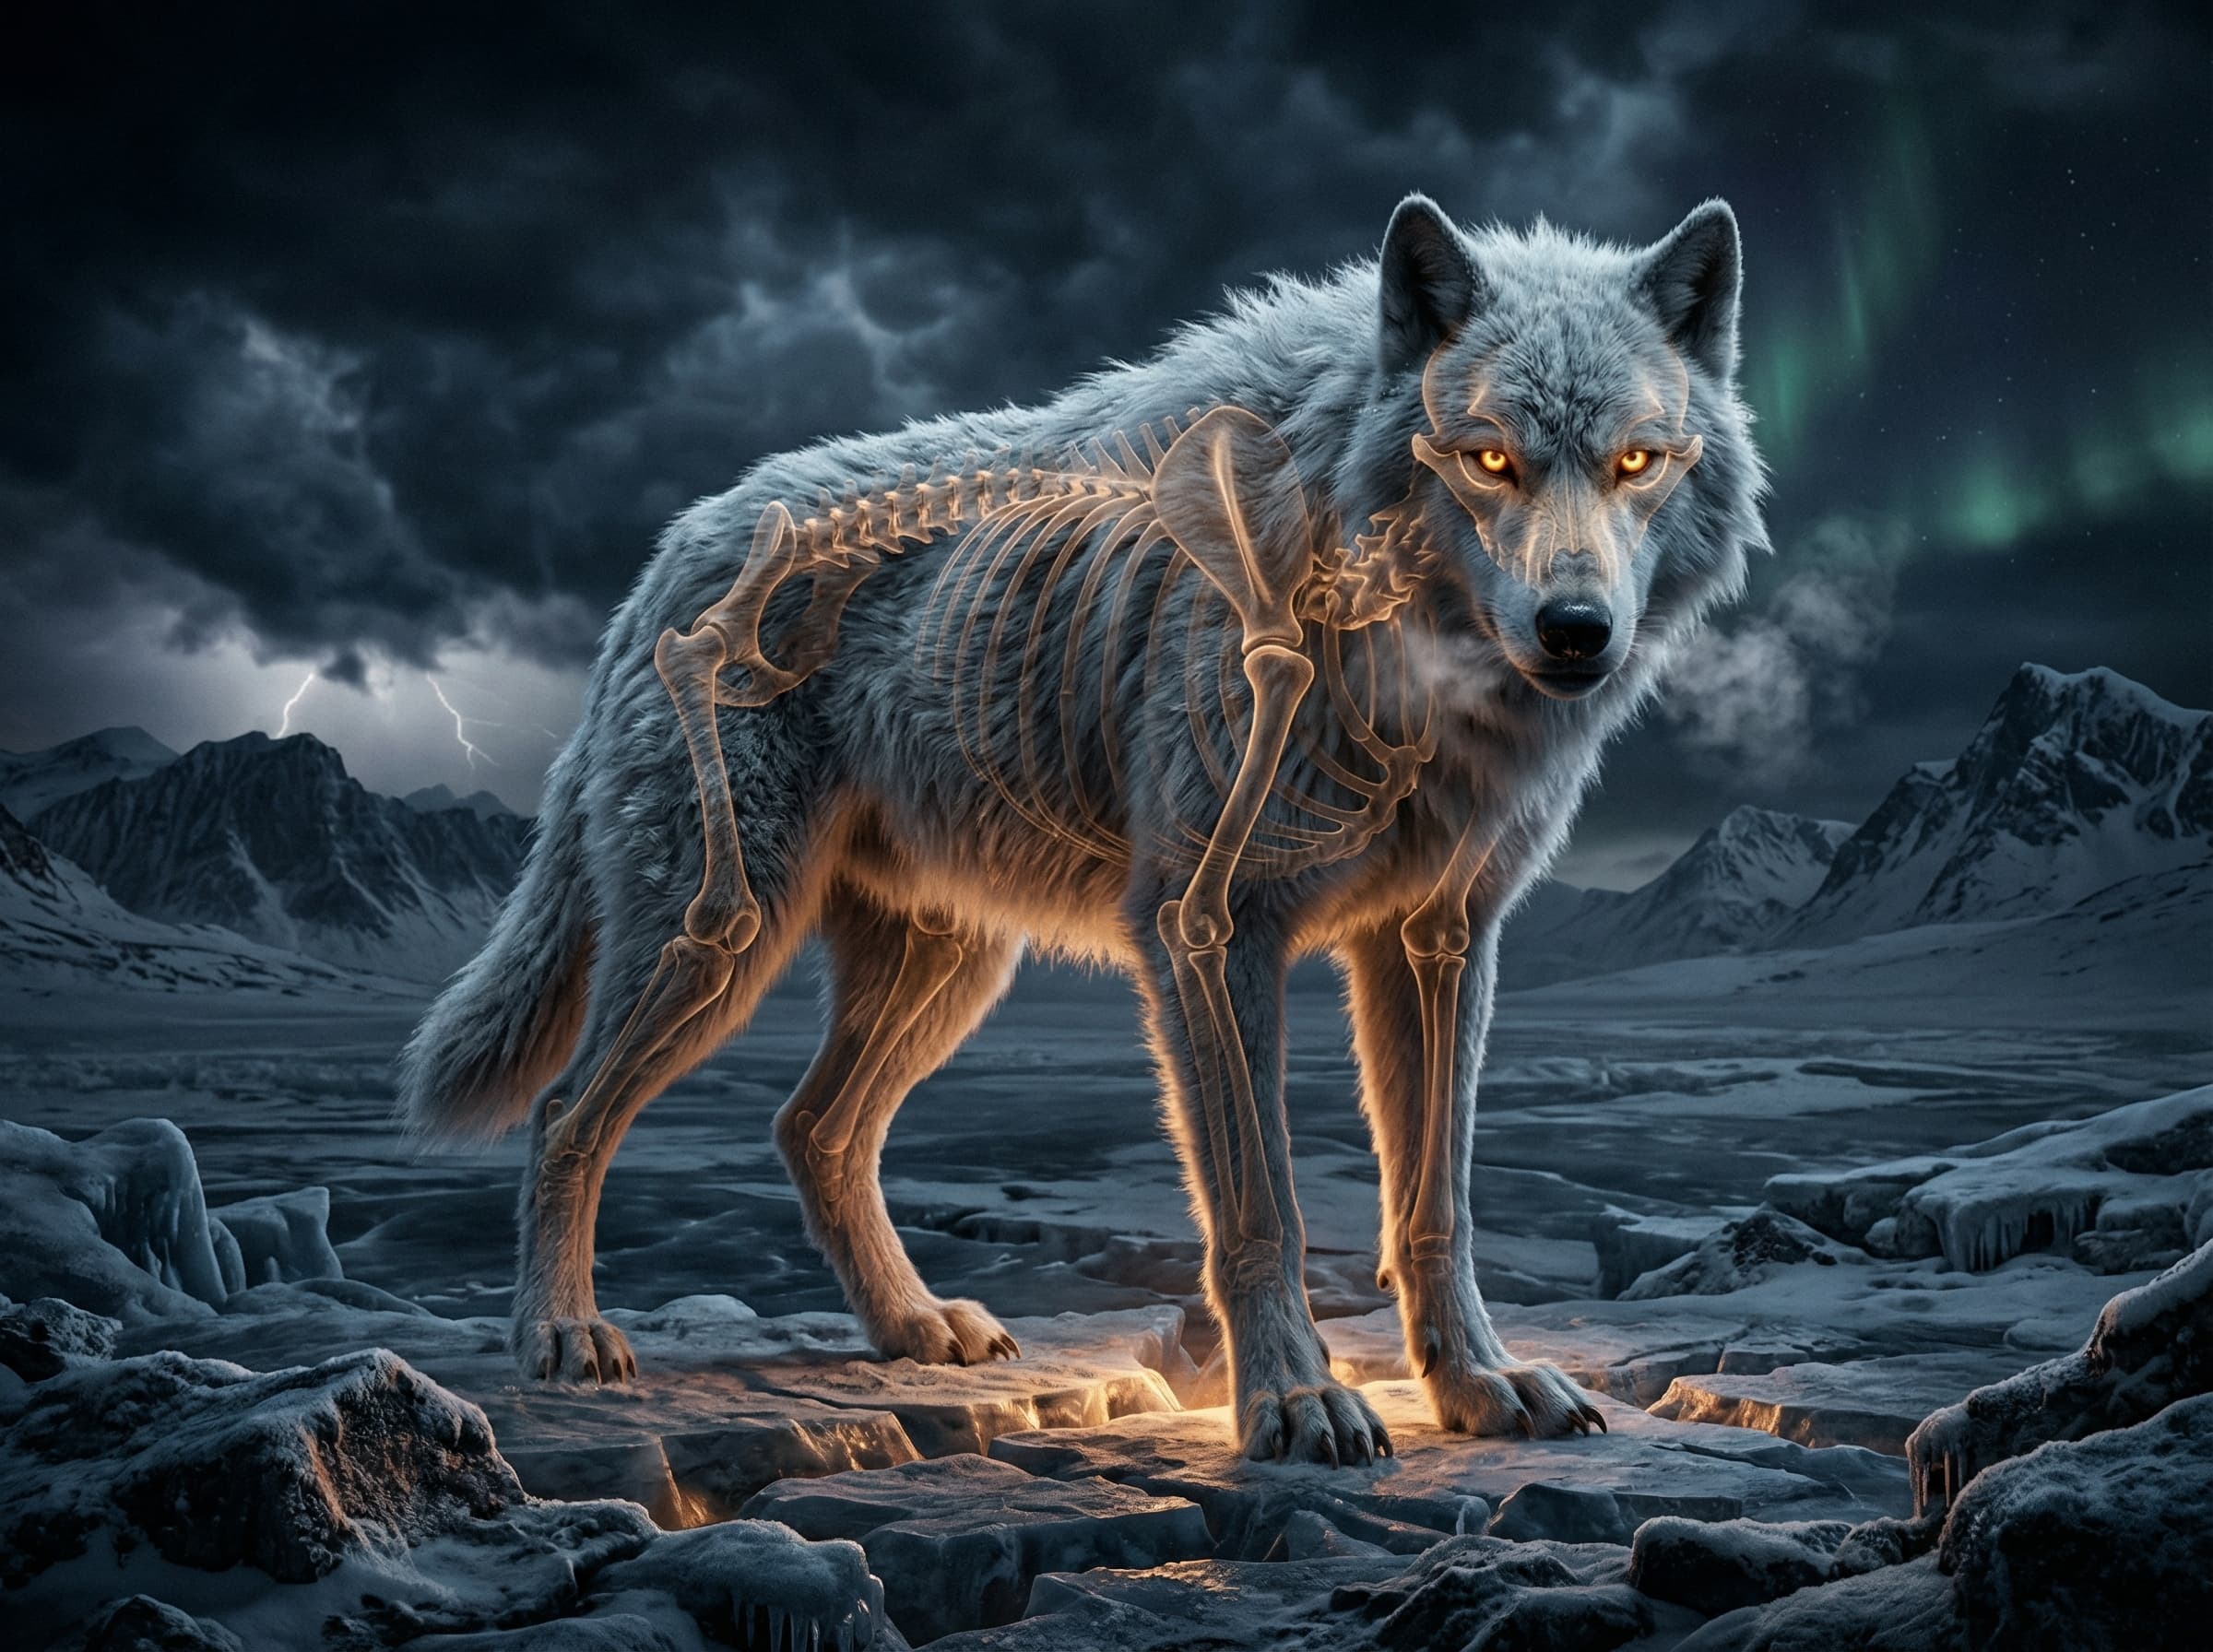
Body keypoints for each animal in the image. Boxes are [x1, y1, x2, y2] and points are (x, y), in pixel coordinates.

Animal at [398, 194, 1766, 1466]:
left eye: (1637, 462)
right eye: (1489, 462)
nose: (1576, 631)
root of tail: (669, 556)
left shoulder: (1440, 940)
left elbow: (1437, 1204)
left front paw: (1479, 1385)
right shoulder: (1208, 927)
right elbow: (1258, 1204)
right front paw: (1293, 1401)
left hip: (951, 965)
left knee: (812, 1129)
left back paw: (916, 1329)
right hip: (721, 939)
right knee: (568, 1112)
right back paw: (561, 1332)